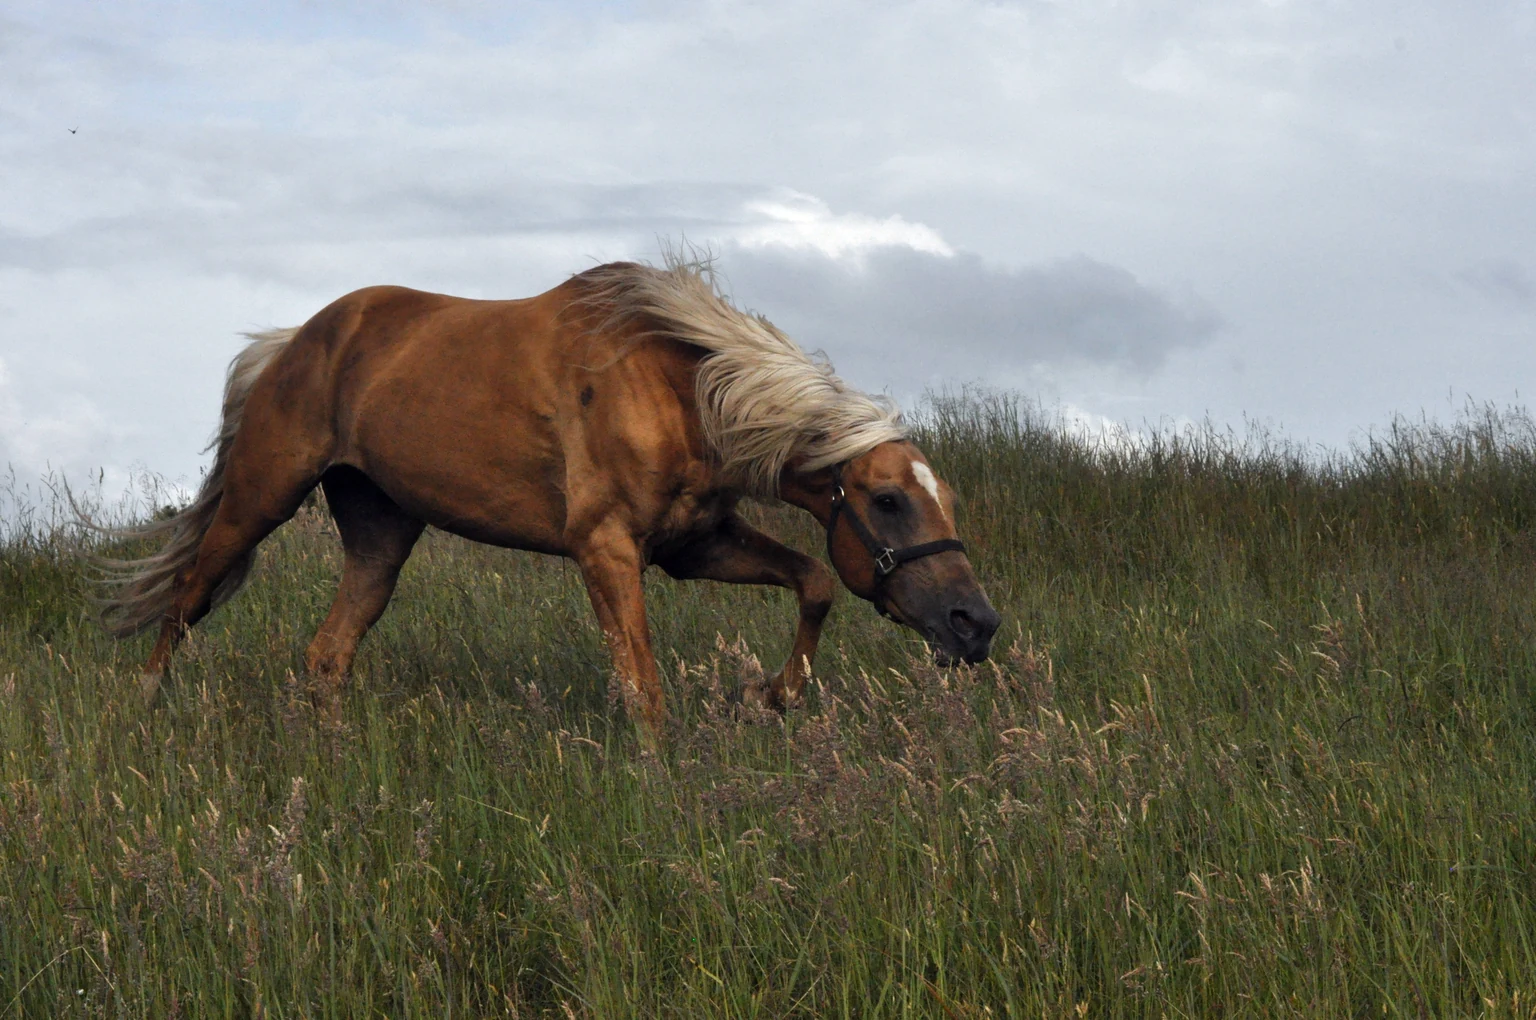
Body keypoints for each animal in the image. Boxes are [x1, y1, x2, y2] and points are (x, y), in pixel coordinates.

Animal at [98, 257, 1001, 741]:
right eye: (886, 500)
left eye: (944, 498)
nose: (976, 625)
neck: (678, 388)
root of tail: (292, 342)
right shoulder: (606, 550)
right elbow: (642, 687)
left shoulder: (694, 546)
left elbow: (813, 581)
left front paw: (765, 697)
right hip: (262, 497)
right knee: (186, 601)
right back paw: (141, 712)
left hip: (381, 535)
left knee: (328, 655)